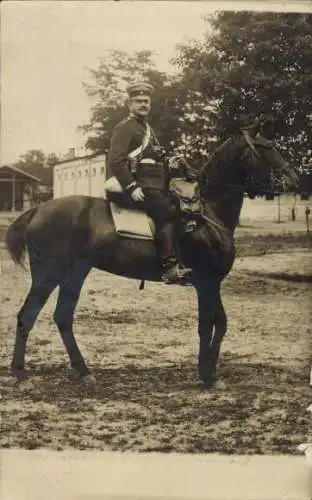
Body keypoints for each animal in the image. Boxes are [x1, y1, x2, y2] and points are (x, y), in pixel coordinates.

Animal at [5, 119, 298, 388]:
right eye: (266, 147)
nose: (293, 177)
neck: (208, 214)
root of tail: (37, 209)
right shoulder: (206, 282)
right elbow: (208, 324)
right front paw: (206, 375)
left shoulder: (212, 282)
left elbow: (219, 323)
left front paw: (210, 373)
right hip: (48, 276)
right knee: (27, 316)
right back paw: (20, 374)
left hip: (76, 273)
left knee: (62, 317)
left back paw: (83, 371)